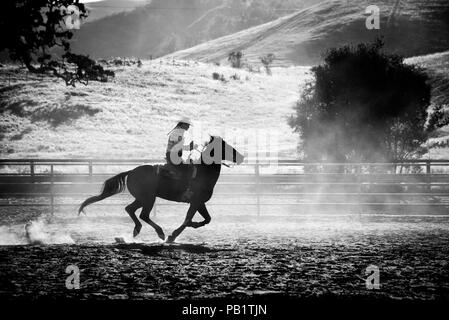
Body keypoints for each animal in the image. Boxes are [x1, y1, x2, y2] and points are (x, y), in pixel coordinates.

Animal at [79, 135, 243, 242]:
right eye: (224, 146)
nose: (240, 156)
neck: (203, 173)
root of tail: (131, 172)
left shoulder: (199, 203)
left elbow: (207, 219)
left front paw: (191, 225)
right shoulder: (195, 202)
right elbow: (188, 219)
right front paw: (173, 235)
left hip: (142, 198)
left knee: (130, 209)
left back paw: (136, 230)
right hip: (149, 198)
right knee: (143, 215)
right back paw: (160, 233)